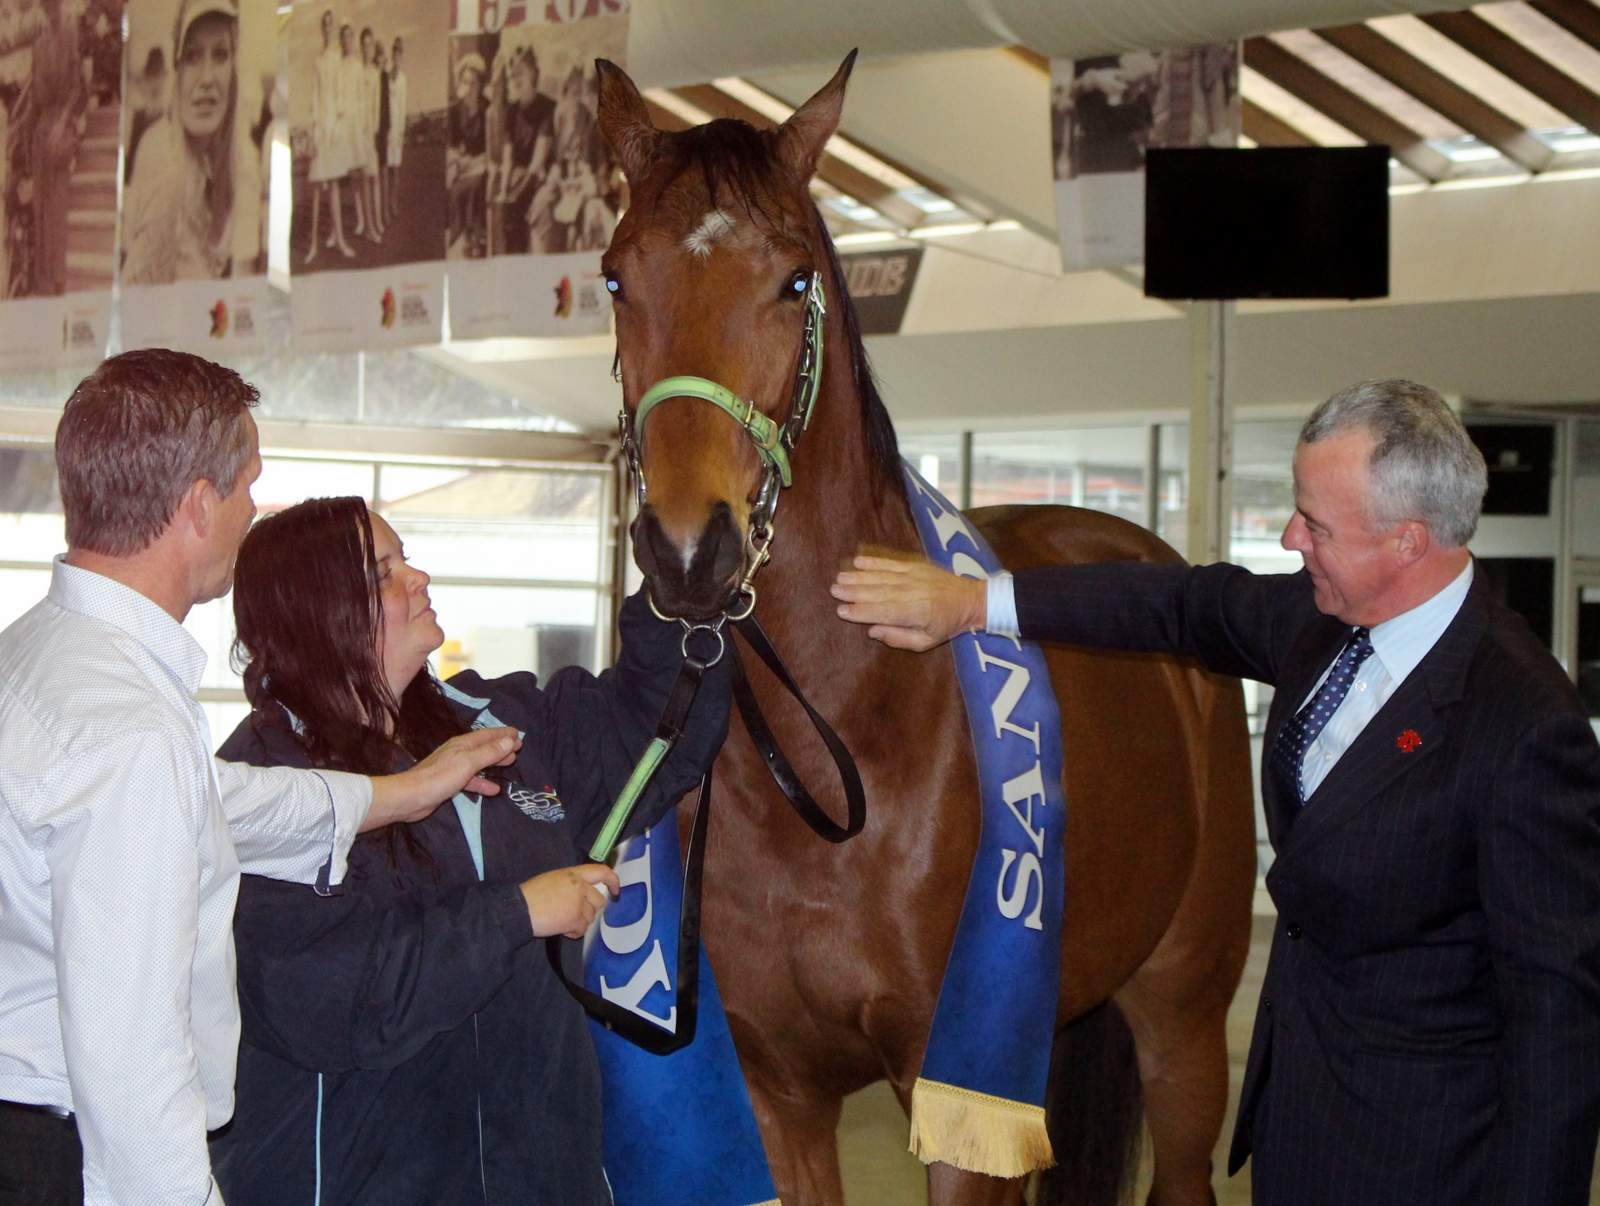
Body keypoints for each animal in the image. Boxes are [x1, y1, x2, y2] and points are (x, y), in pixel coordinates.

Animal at [594, 53, 1257, 1206]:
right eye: (616, 279)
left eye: (795, 282)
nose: (688, 552)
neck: (844, 728)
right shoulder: (781, 1093)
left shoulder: (953, 1097)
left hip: (1181, 1025)